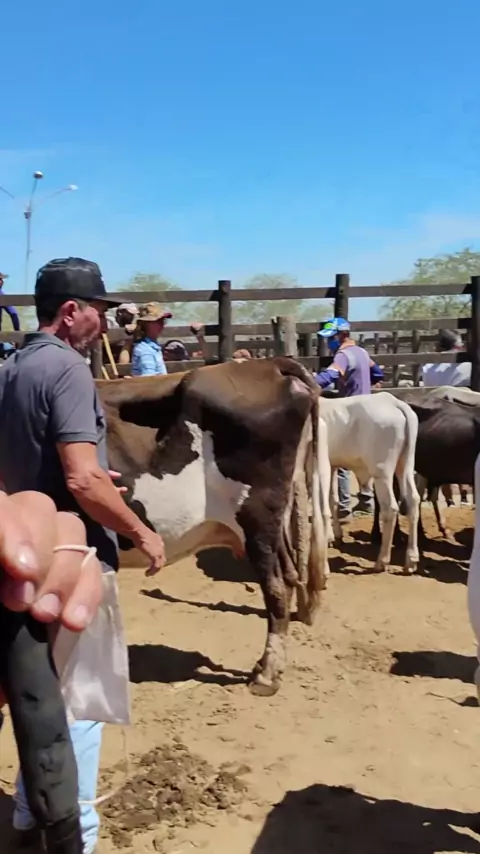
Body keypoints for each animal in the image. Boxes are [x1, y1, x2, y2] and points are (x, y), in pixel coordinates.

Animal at [98, 357, 328, 696]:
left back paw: (266, 675)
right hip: (274, 524)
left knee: (276, 587)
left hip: (256, 517)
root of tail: (270, 363)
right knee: (288, 575)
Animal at [319, 392, 420, 573]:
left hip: (382, 473)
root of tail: (394, 402)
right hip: (405, 465)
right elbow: (332, 501)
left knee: (390, 508)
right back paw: (411, 560)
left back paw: (382, 561)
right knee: (413, 500)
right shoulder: (332, 465)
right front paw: (334, 536)